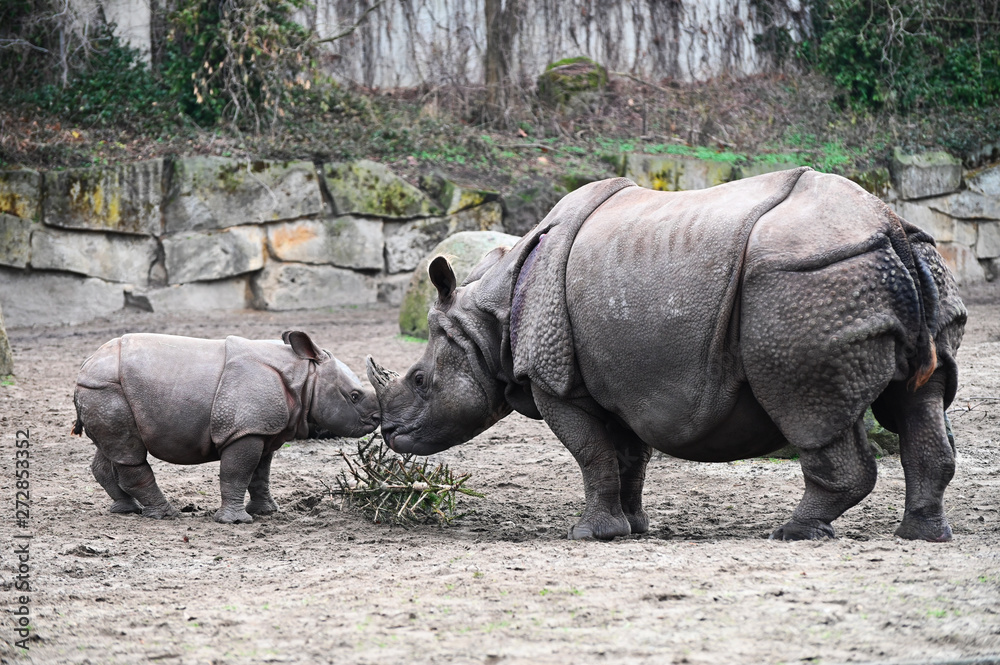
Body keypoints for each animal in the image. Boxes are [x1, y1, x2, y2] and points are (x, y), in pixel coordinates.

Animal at [73, 331, 380, 523]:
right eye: (354, 396)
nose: (378, 418)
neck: (304, 375)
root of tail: (85, 365)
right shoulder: (244, 429)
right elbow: (237, 471)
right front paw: (236, 521)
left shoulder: (262, 428)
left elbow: (260, 474)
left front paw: (267, 512)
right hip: (107, 389)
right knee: (130, 453)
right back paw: (167, 515)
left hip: (102, 390)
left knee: (114, 451)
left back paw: (126, 510)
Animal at [367, 168, 967, 542]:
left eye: (418, 379)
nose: (386, 431)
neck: (487, 321)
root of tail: (887, 221)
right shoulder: (621, 381)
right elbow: (626, 458)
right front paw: (633, 529)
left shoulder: (555, 380)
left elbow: (590, 453)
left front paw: (588, 534)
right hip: (916, 262)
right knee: (922, 399)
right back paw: (920, 535)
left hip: (804, 281)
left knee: (808, 410)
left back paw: (792, 533)